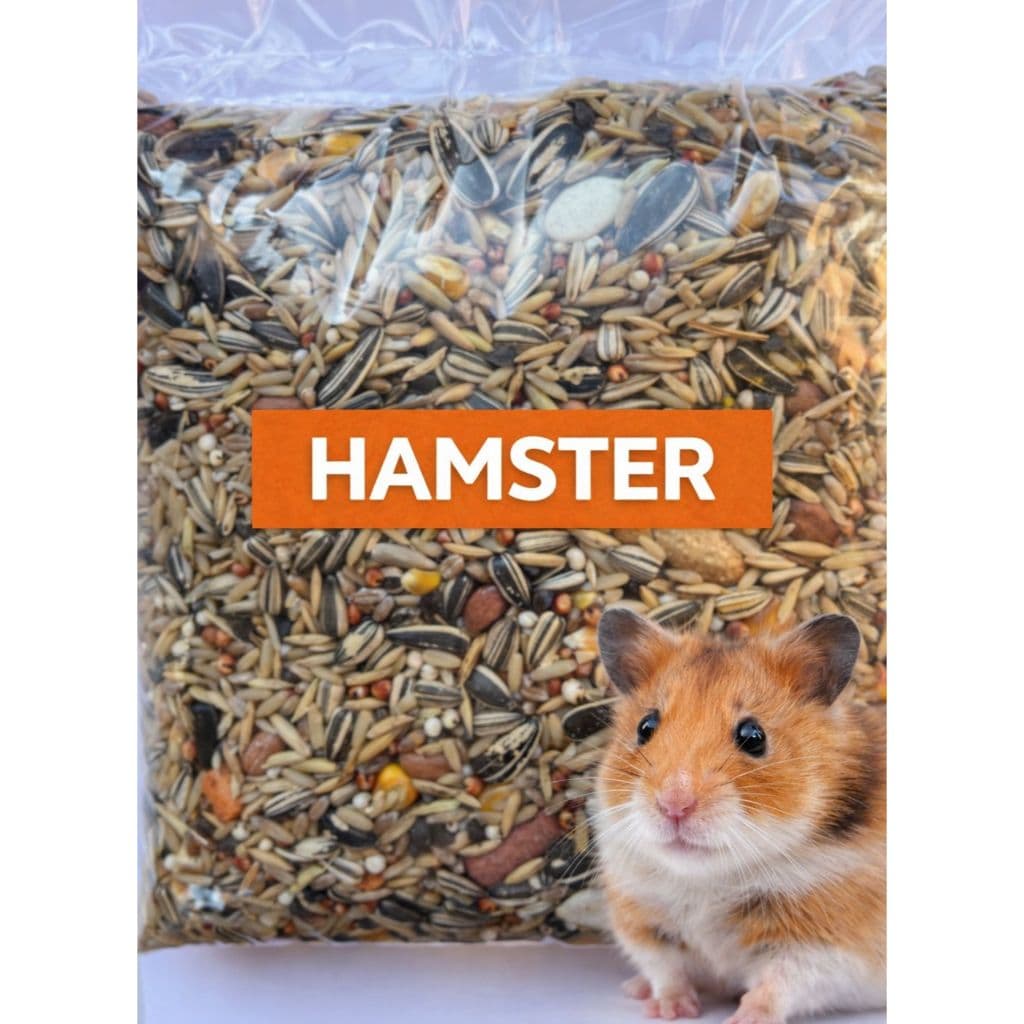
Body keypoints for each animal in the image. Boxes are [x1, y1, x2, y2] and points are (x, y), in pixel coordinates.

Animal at [595, 608, 885, 1023]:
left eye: (753, 736)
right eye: (645, 727)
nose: (673, 805)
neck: (709, 878)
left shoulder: (827, 946)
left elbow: (781, 983)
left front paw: (744, 1017)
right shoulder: (642, 921)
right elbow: (665, 968)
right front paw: (671, 1010)